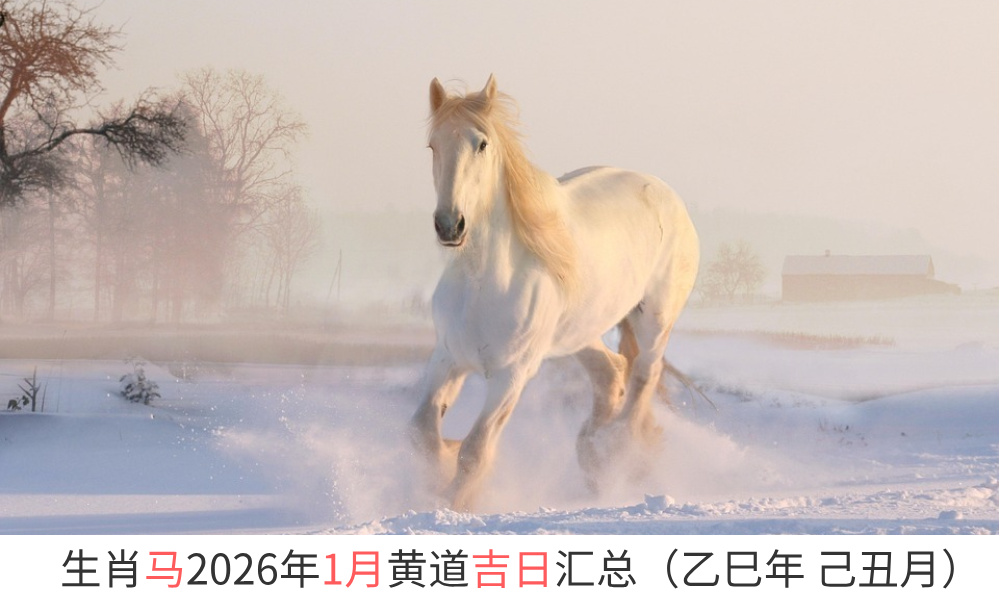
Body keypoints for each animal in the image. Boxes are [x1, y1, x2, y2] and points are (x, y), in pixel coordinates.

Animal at [411, 75, 699, 511]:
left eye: (482, 144)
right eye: (433, 145)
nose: (449, 225)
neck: (484, 282)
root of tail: (668, 196)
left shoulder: (512, 375)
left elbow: (475, 451)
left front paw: (455, 502)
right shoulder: (447, 358)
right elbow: (423, 433)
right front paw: (442, 467)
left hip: (654, 320)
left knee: (643, 377)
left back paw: (617, 453)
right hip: (579, 333)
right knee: (612, 372)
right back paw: (592, 455)